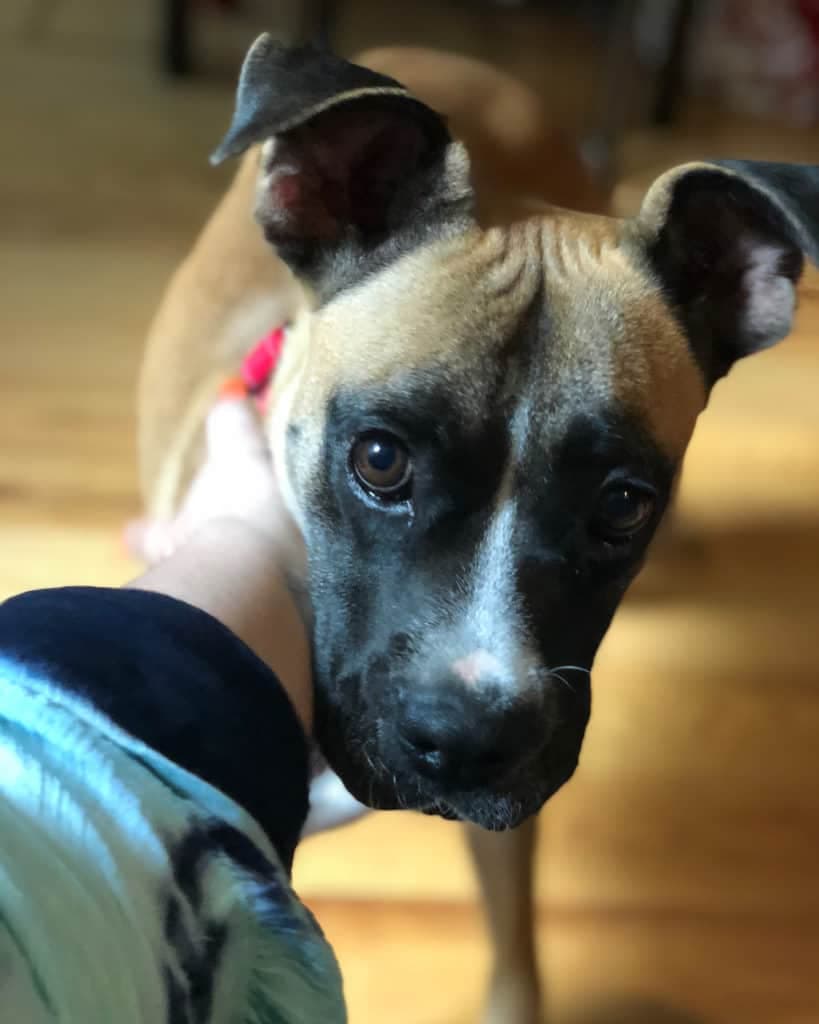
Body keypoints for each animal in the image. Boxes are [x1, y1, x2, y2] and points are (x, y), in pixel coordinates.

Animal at [137, 36, 819, 1024]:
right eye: (380, 459)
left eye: (622, 504)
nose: (466, 743)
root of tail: (427, 50)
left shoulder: (513, 824)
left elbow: (516, 950)